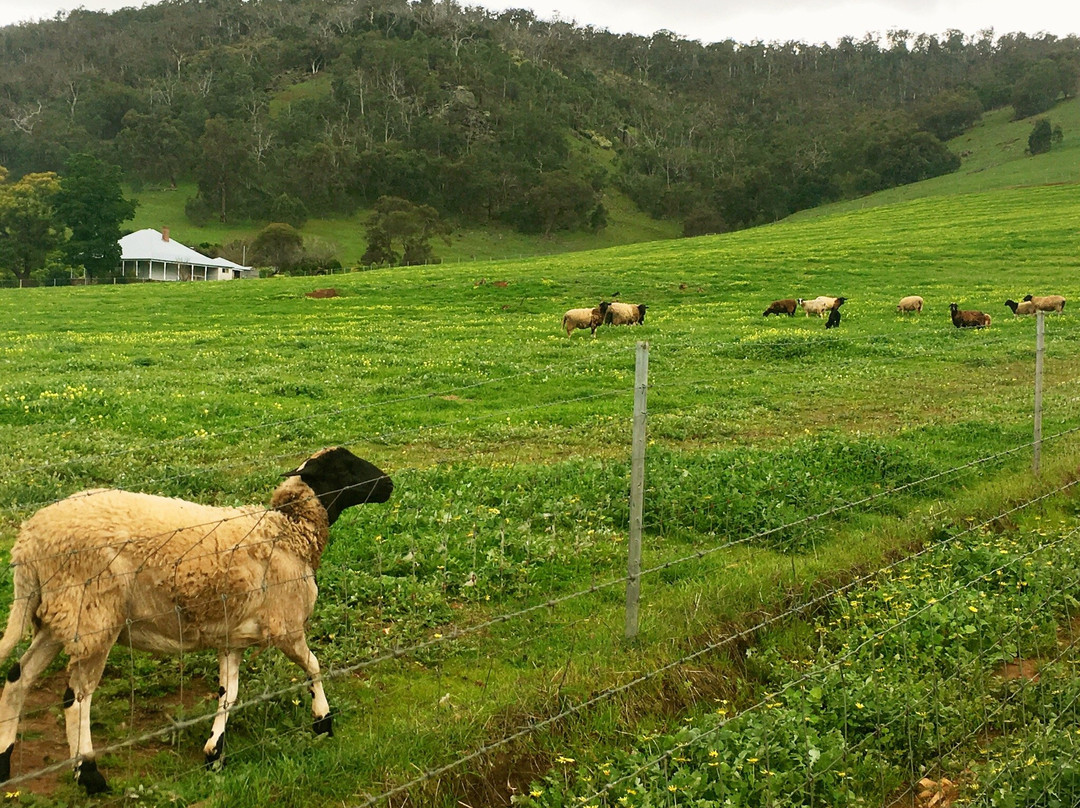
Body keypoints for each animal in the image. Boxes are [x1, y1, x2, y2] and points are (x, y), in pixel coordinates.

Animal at [0, 447, 395, 795]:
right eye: (344, 468)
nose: (388, 483)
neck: (288, 530)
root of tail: (28, 543)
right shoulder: (286, 625)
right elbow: (314, 666)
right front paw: (323, 721)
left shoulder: (232, 638)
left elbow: (228, 695)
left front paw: (214, 753)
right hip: (93, 617)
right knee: (76, 698)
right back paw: (90, 775)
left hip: (58, 617)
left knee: (19, 678)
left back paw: (5, 760)